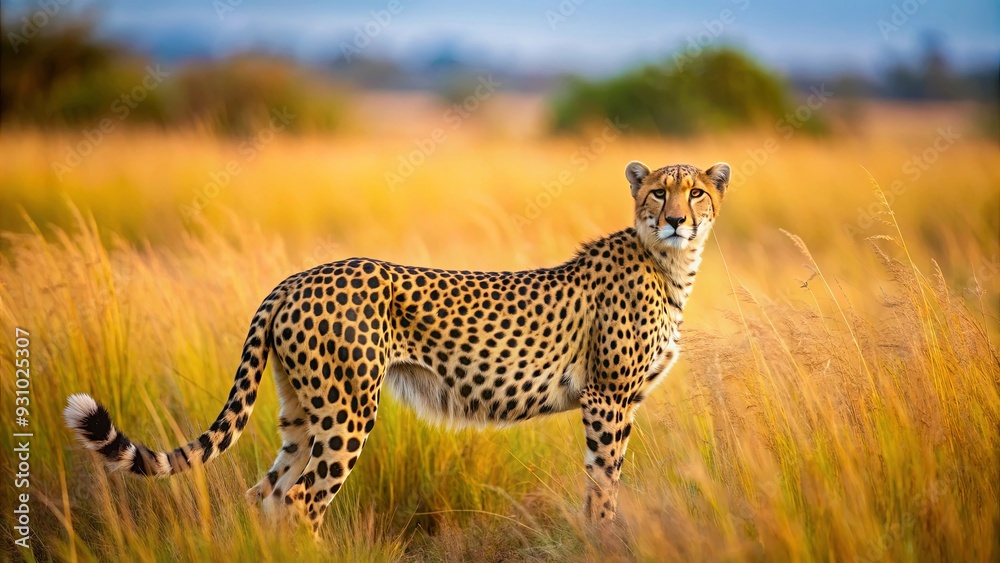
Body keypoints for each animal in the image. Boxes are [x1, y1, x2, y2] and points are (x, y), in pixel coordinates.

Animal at [65, 159, 731, 537]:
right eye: (658, 193)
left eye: (696, 192)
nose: (676, 219)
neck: (670, 262)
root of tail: (297, 277)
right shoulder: (608, 399)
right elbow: (605, 485)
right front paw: (603, 540)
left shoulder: (609, 401)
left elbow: (598, 484)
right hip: (348, 411)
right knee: (302, 499)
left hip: (302, 412)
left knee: (268, 494)